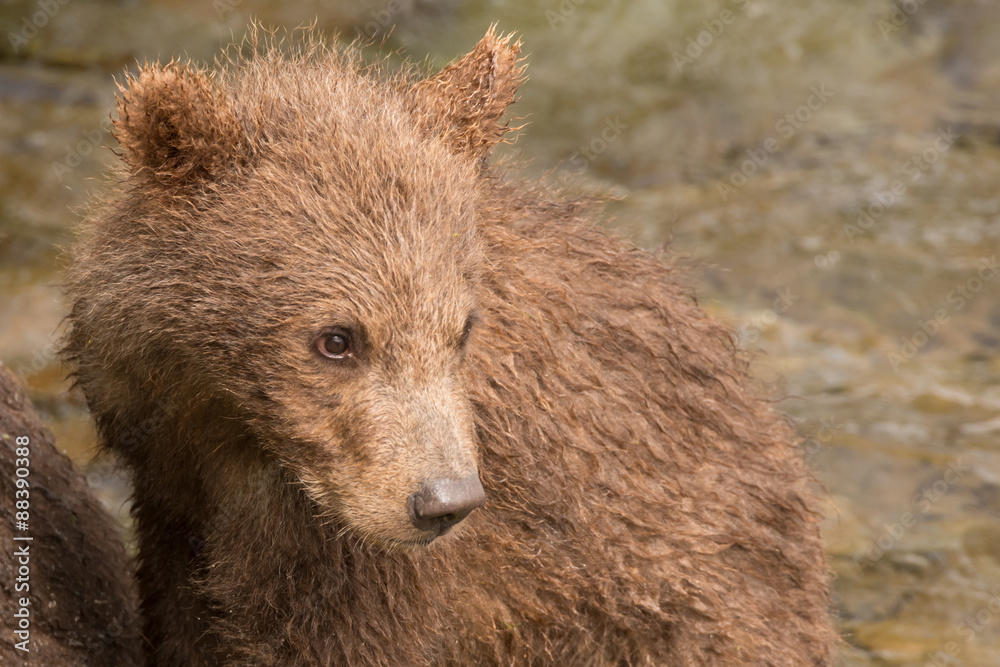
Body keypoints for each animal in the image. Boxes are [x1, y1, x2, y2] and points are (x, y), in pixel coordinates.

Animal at [62, 27, 835, 665]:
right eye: (336, 338)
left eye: (461, 328)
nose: (444, 502)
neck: (236, 435)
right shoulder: (173, 491)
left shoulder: (371, 563)